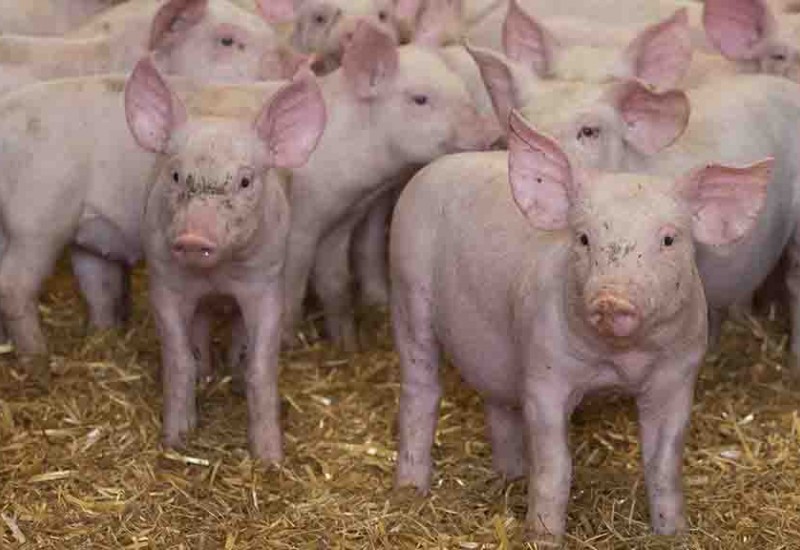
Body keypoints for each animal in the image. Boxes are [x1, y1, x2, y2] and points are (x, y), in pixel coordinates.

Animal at [125, 59, 325, 460]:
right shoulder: (164, 280)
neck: (216, 275)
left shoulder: (266, 282)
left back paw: (233, 368)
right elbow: (178, 359)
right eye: (175, 175)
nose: (193, 238)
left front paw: (269, 459)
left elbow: (262, 367)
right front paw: (176, 441)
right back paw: (208, 371)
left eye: (245, 182)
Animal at [390, 110, 772, 542]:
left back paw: (509, 476)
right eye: (585, 238)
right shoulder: (544, 374)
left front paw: (674, 534)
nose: (612, 298)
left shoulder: (678, 375)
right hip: (407, 290)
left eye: (669, 240)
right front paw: (542, 539)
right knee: (421, 391)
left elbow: (664, 464)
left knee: (497, 401)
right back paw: (411, 490)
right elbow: (555, 468)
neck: (620, 361)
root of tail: (429, 171)